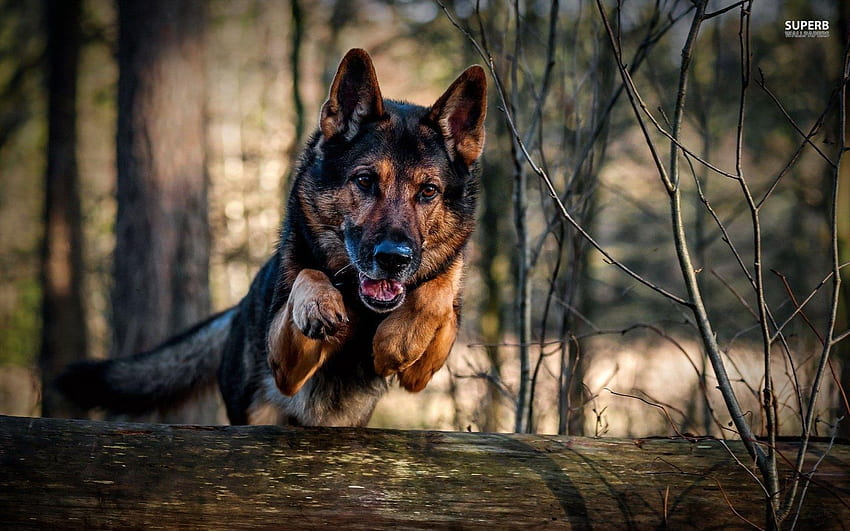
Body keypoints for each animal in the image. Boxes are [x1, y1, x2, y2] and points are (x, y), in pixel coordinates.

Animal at [58, 48, 484, 428]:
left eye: (428, 191)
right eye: (365, 180)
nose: (393, 258)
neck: (362, 307)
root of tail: (239, 308)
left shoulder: (422, 371)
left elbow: (438, 293)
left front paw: (398, 340)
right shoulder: (284, 364)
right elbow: (306, 275)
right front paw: (319, 303)